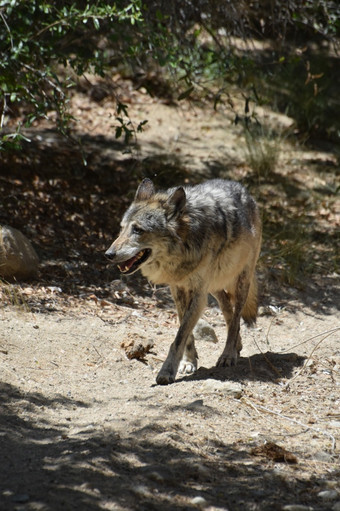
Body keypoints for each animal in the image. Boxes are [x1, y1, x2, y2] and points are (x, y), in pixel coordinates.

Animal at [105, 179, 262, 384]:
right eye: (122, 228)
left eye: (138, 230)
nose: (108, 254)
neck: (185, 243)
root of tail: (244, 190)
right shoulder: (178, 289)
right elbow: (185, 332)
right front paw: (188, 362)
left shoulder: (198, 294)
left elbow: (180, 335)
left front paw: (166, 371)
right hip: (214, 287)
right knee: (228, 309)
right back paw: (236, 346)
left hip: (240, 282)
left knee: (236, 317)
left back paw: (228, 354)